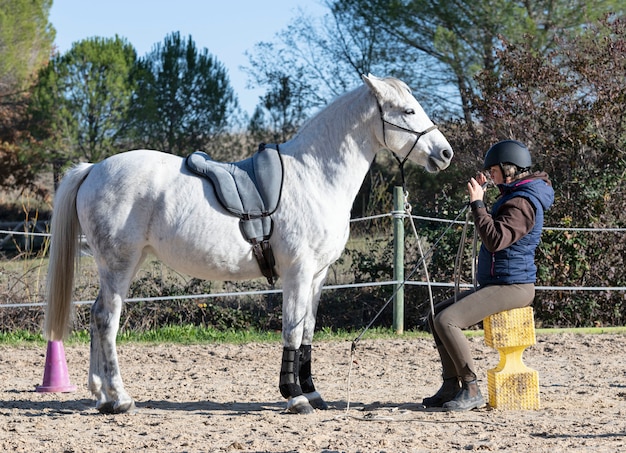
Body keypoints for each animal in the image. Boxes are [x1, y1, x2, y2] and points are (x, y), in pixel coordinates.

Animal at [45, 74, 454, 414]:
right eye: (408, 110)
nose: (445, 153)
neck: (315, 176)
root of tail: (93, 169)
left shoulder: (317, 276)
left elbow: (307, 332)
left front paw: (313, 392)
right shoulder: (298, 273)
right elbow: (291, 331)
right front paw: (295, 397)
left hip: (116, 266)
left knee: (97, 318)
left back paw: (101, 396)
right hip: (120, 264)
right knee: (106, 320)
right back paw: (119, 398)